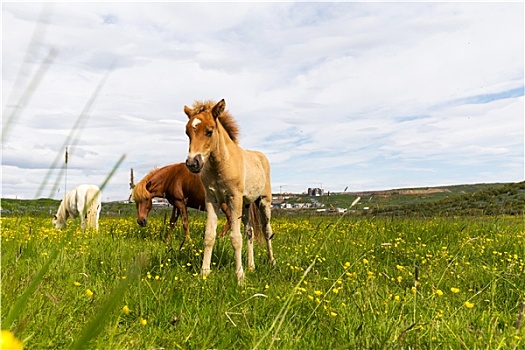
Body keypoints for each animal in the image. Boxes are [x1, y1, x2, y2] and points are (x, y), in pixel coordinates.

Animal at [183, 99, 274, 284]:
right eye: (187, 132)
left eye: (209, 131)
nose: (192, 163)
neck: (220, 164)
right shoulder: (212, 199)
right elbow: (209, 235)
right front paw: (204, 273)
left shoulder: (234, 198)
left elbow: (235, 238)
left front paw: (240, 277)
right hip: (246, 205)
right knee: (250, 232)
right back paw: (251, 266)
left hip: (263, 201)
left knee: (267, 230)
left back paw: (272, 262)